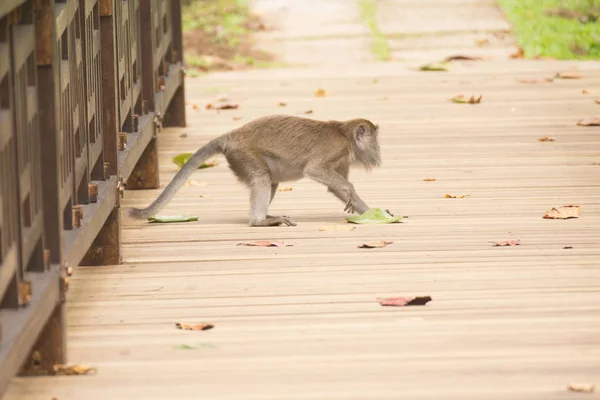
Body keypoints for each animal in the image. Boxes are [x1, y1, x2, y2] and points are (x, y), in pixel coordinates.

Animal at [129, 114, 384, 227]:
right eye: (375, 141)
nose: (379, 152)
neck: (345, 134)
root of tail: (231, 136)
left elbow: (335, 188)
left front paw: (371, 211)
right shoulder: (336, 149)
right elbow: (315, 170)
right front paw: (351, 190)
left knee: (271, 180)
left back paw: (266, 216)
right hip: (242, 154)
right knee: (263, 177)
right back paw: (259, 221)